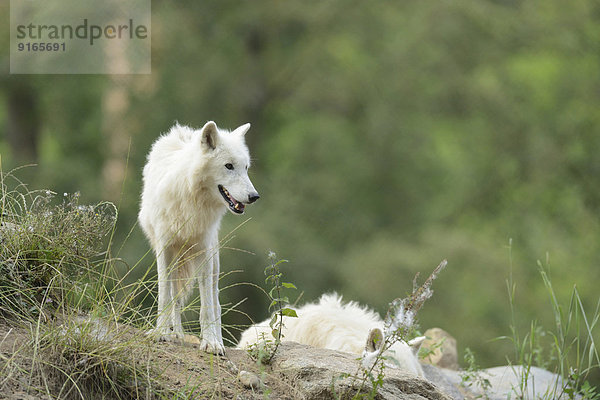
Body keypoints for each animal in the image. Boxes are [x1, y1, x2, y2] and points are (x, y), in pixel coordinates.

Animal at [139, 121, 258, 354]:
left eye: (246, 167)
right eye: (229, 166)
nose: (254, 196)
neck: (193, 198)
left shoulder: (204, 251)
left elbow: (207, 307)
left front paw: (211, 342)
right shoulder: (164, 248)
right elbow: (164, 295)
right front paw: (160, 333)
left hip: (213, 261)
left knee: (214, 301)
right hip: (176, 258)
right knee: (175, 297)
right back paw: (175, 333)